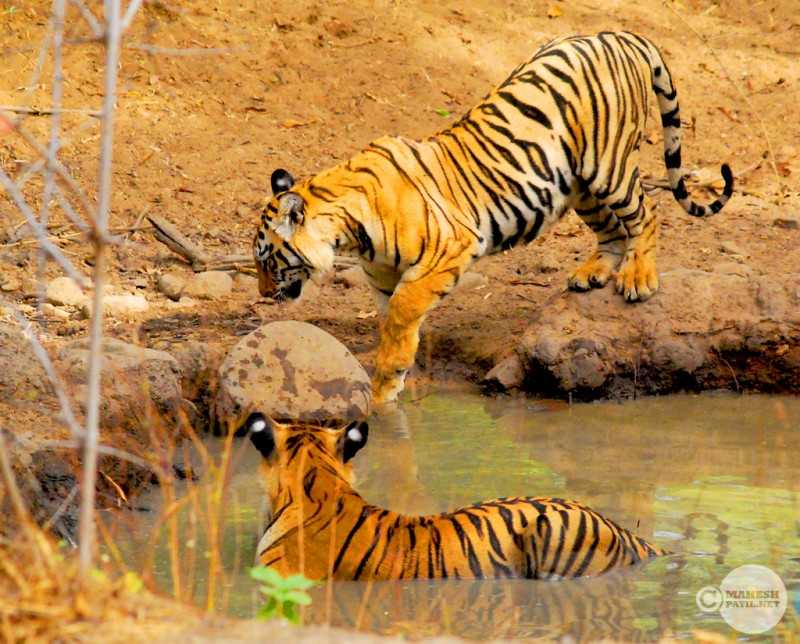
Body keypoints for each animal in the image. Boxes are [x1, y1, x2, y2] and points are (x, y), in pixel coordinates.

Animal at [253, 31, 736, 402]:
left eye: (266, 260)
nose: (262, 294)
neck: (349, 231)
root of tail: (620, 35)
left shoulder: (447, 250)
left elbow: (402, 317)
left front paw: (385, 389)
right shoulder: (385, 278)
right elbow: (395, 325)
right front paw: (393, 387)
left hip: (608, 166)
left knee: (646, 213)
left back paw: (639, 278)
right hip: (579, 184)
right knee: (612, 230)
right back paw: (593, 273)